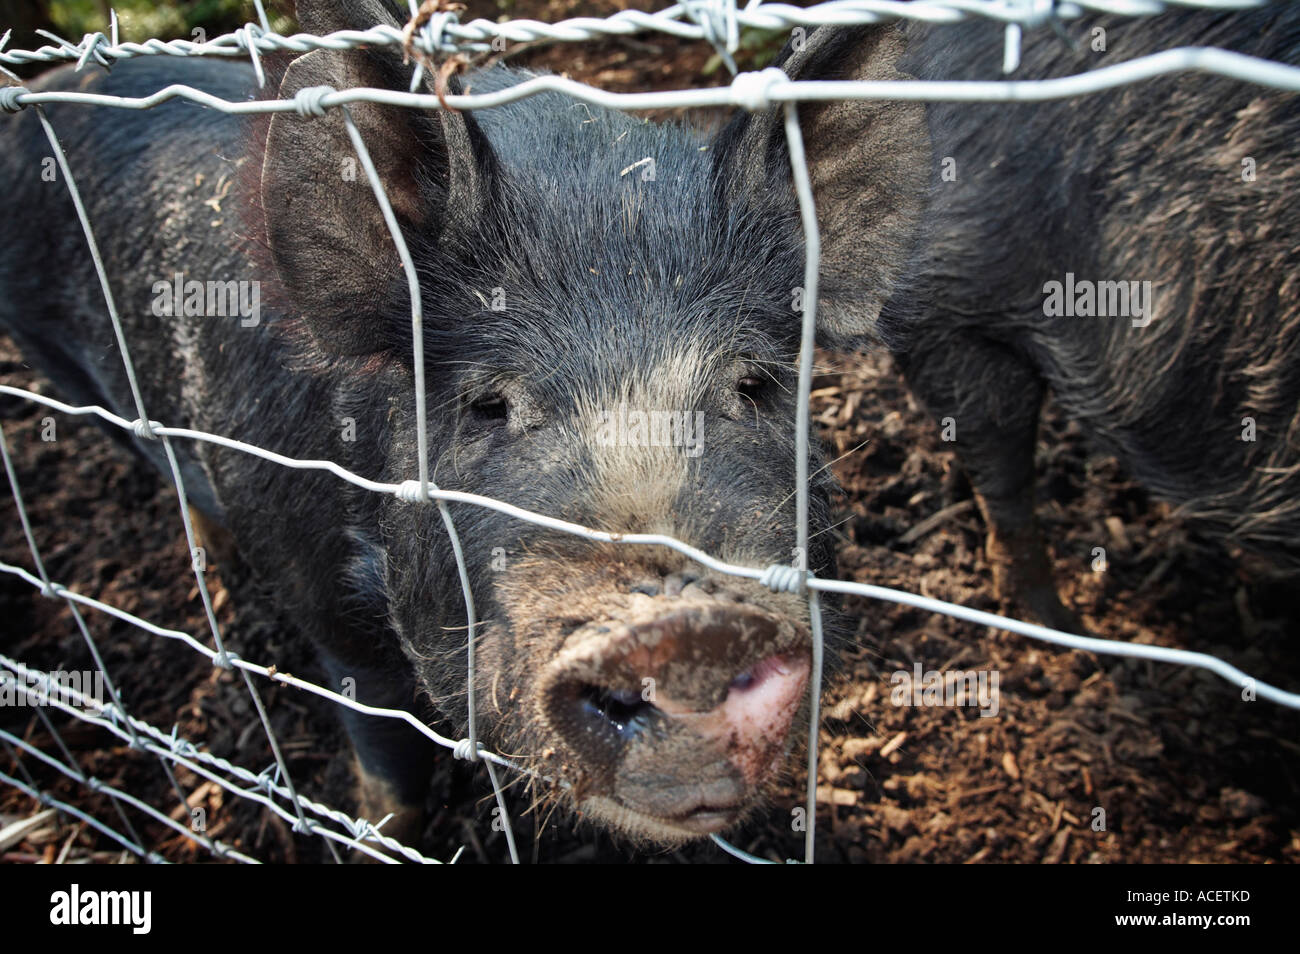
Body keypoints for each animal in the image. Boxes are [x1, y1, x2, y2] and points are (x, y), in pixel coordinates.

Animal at [0, 0, 927, 846]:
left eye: (755, 385)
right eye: (489, 404)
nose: (686, 634)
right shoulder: (333, 619)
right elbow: (386, 755)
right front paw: (380, 831)